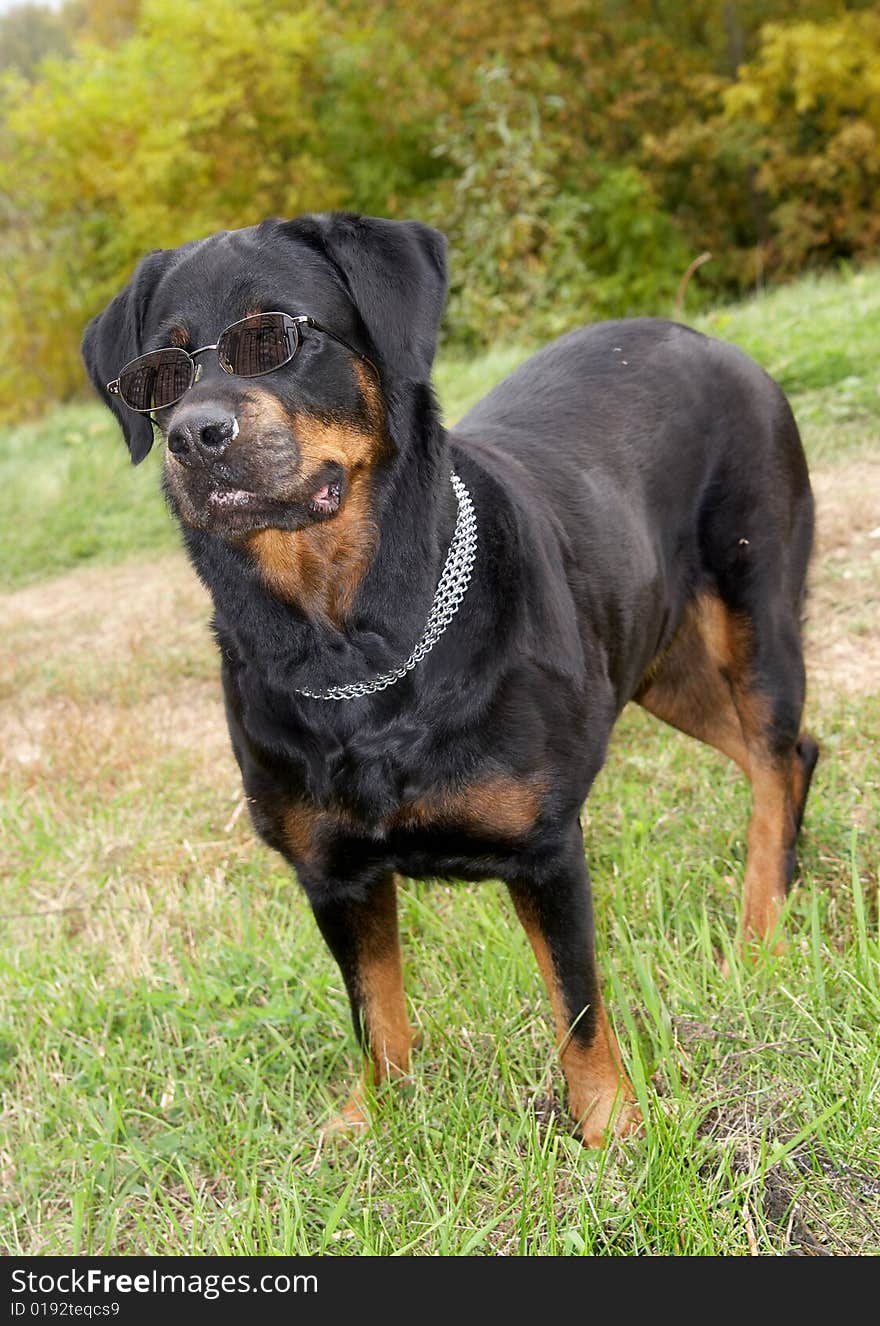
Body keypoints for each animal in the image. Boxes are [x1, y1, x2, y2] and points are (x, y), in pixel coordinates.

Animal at [82, 212, 816, 1145]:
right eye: (158, 376)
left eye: (275, 337)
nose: (192, 434)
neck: (349, 651)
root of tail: (706, 337)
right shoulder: (333, 874)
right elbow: (375, 1008)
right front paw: (373, 1119)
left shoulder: (545, 846)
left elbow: (577, 1005)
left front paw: (610, 1127)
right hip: (660, 665)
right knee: (791, 752)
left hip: (755, 611)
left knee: (774, 754)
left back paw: (762, 927)